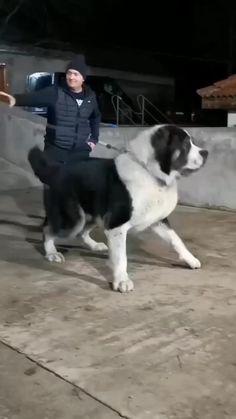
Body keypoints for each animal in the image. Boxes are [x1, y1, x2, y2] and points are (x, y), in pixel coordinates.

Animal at [28, 124, 207, 292]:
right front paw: (121, 281)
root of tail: (57, 169)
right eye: (185, 144)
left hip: (95, 214)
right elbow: (121, 257)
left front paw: (190, 259)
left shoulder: (158, 221)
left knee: (80, 232)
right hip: (73, 220)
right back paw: (52, 253)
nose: (206, 153)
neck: (149, 173)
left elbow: (176, 241)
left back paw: (94, 245)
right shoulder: (117, 225)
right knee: (48, 229)